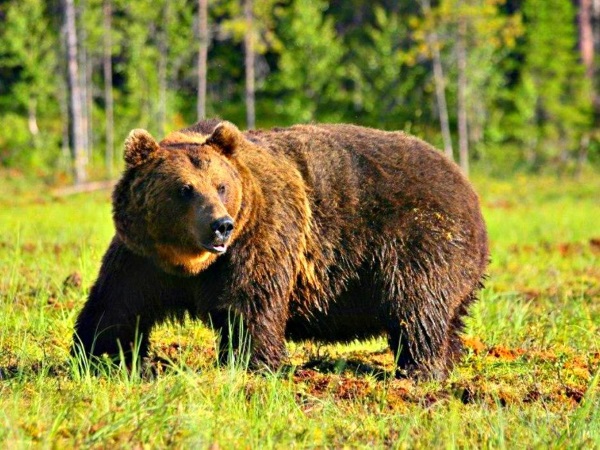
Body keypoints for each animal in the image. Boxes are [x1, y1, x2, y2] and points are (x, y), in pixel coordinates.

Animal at [72, 119, 490, 380]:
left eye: (221, 185)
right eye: (185, 189)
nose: (220, 225)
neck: (188, 261)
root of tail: (467, 185)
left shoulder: (260, 233)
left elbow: (250, 302)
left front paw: (255, 363)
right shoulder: (142, 257)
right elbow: (117, 303)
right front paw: (98, 354)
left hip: (418, 236)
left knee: (417, 305)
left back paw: (419, 370)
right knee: (447, 317)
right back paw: (446, 360)